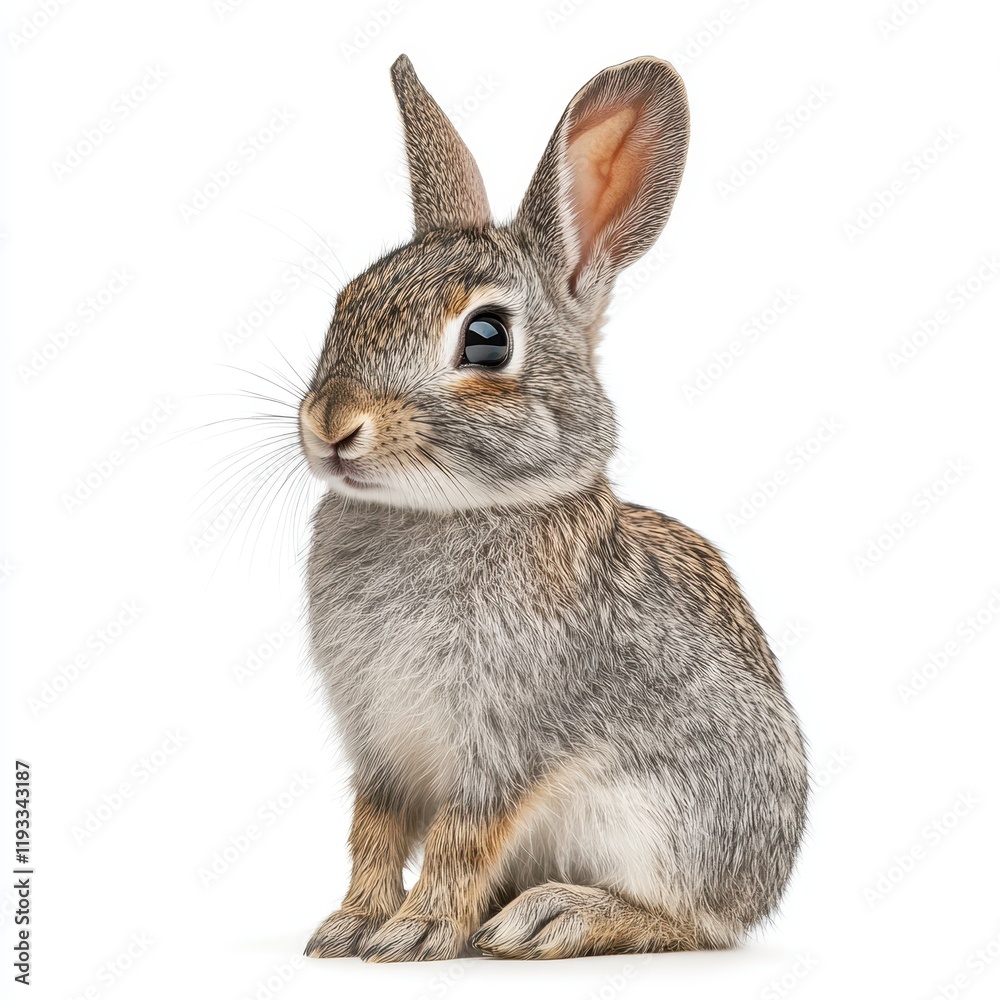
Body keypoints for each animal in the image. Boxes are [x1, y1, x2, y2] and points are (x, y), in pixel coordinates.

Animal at [299, 53, 807, 963]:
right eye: (346, 301)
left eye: (487, 337)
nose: (329, 423)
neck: (444, 511)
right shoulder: (380, 744)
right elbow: (375, 830)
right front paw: (350, 925)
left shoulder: (510, 737)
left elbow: (462, 837)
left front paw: (415, 934)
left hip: (672, 825)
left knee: (693, 922)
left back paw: (556, 915)